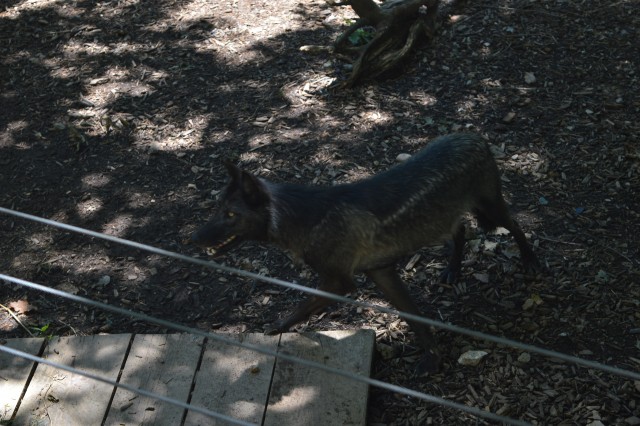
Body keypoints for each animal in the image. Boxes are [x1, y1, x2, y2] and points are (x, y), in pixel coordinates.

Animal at [191, 132, 540, 370]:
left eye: (231, 214)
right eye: (217, 208)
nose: (193, 238)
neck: (303, 220)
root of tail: (474, 137)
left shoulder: (342, 282)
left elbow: (303, 306)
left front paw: (274, 330)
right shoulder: (379, 271)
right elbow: (414, 316)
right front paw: (433, 356)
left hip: (490, 209)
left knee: (516, 225)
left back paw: (530, 261)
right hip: (444, 220)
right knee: (461, 230)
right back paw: (452, 270)